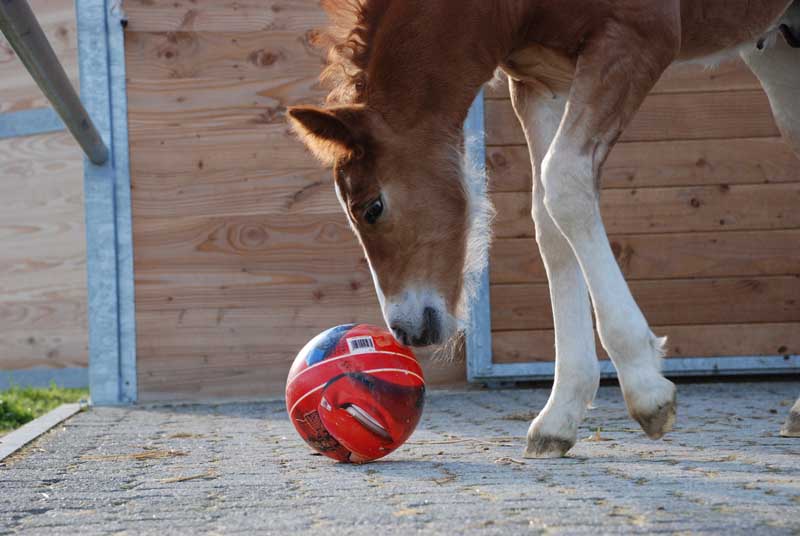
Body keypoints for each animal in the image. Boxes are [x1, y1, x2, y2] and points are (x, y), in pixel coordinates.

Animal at [288, 0, 800, 456]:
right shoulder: (539, 81)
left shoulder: (636, 38)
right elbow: (546, 218)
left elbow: (564, 185)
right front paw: (560, 414)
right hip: (777, 46)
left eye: (372, 208)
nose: (407, 330)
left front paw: (645, 388)